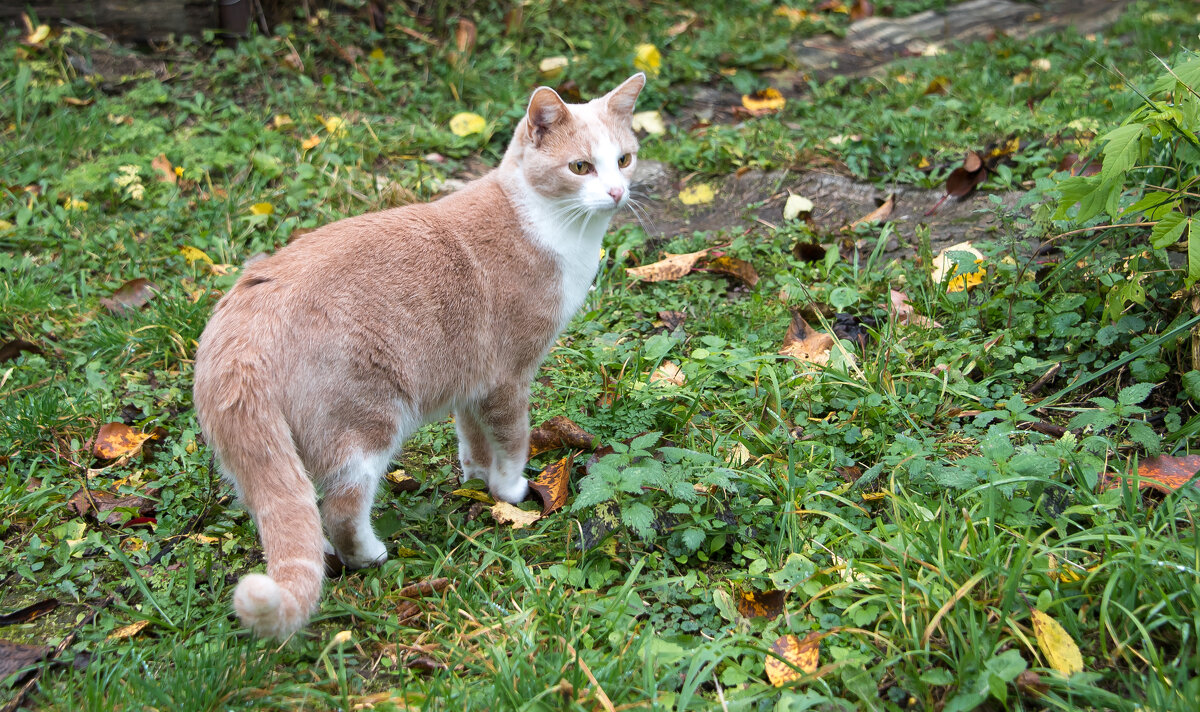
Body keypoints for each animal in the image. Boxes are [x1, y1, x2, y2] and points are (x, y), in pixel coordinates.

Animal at [194, 73, 648, 638]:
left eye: (624, 160)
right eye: (581, 167)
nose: (616, 192)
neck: (553, 229)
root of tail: (238, 336)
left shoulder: (471, 381)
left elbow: (473, 439)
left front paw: (476, 480)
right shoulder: (508, 376)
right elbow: (514, 440)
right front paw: (510, 491)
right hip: (367, 422)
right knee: (341, 508)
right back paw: (368, 555)